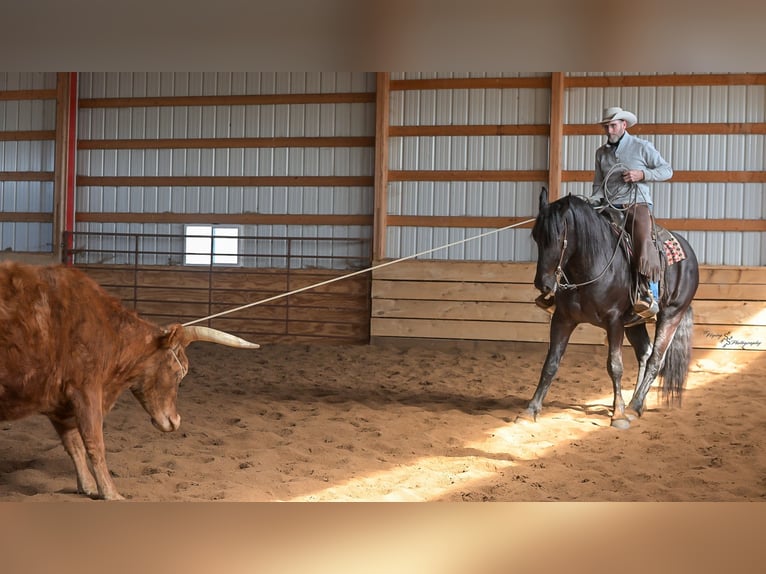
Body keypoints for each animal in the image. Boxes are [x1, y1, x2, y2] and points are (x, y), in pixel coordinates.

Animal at [519, 188, 699, 429]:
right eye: (536, 236)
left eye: (559, 238)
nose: (543, 284)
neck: (589, 266)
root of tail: (689, 255)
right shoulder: (563, 319)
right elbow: (551, 363)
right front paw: (531, 409)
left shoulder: (614, 321)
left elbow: (615, 366)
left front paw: (619, 414)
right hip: (635, 322)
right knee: (645, 354)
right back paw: (637, 404)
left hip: (672, 315)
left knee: (655, 360)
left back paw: (632, 407)